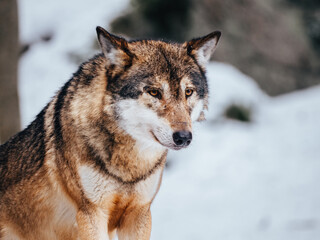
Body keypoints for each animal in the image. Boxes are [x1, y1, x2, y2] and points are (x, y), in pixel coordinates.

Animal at [0, 25, 220, 239]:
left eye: (188, 92)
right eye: (154, 92)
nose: (184, 137)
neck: (130, 166)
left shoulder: (139, 214)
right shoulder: (91, 214)